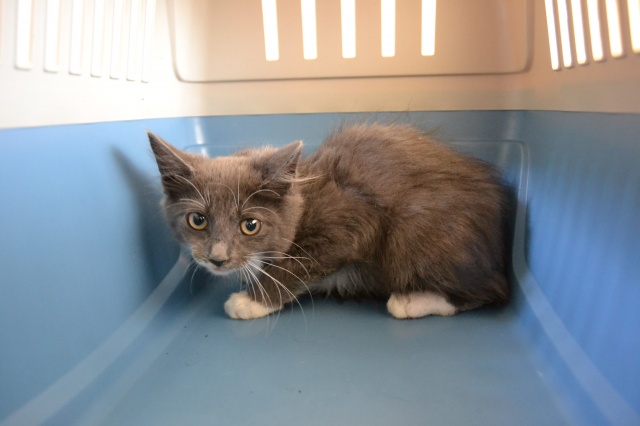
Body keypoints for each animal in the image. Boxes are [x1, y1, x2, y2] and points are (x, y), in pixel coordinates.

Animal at [148, 123, 510, 320]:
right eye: (197, 220)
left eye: (250, 225)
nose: (217, 259)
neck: (303, 199)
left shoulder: (355, 217)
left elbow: (299, 262)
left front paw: (252, 300)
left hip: (413, 231)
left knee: (492, 291)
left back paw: (412, 300)